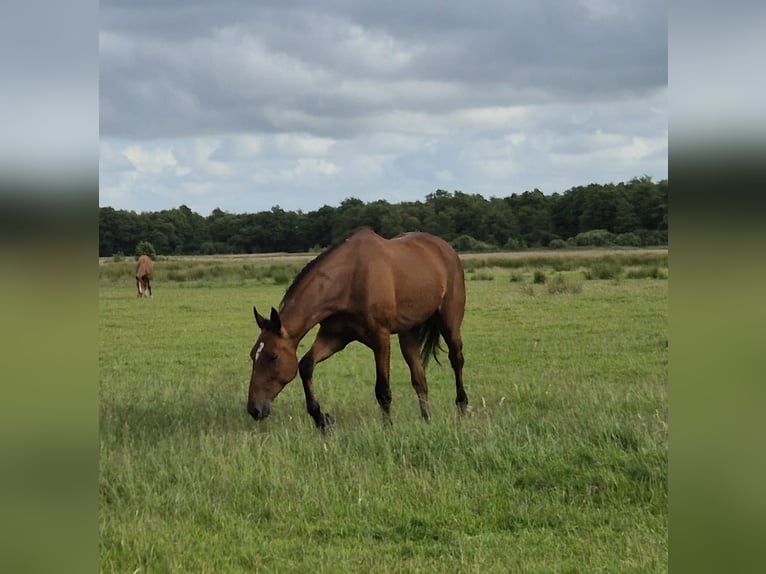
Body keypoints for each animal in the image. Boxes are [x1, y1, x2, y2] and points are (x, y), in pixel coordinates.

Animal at [249, 227, 472, 430]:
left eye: (273, 356)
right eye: (253, 355)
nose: (253, 409)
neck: (349, 279)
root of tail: (446, 249)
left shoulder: (380, 337)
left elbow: (382, 390)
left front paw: (388, 428)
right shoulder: (334, 337)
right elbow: (305, 365)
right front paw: (321, 419)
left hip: (449, 323)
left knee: (456, 360)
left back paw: (462, 408)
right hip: (408, 331)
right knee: (419, 376)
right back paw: (426, 420)